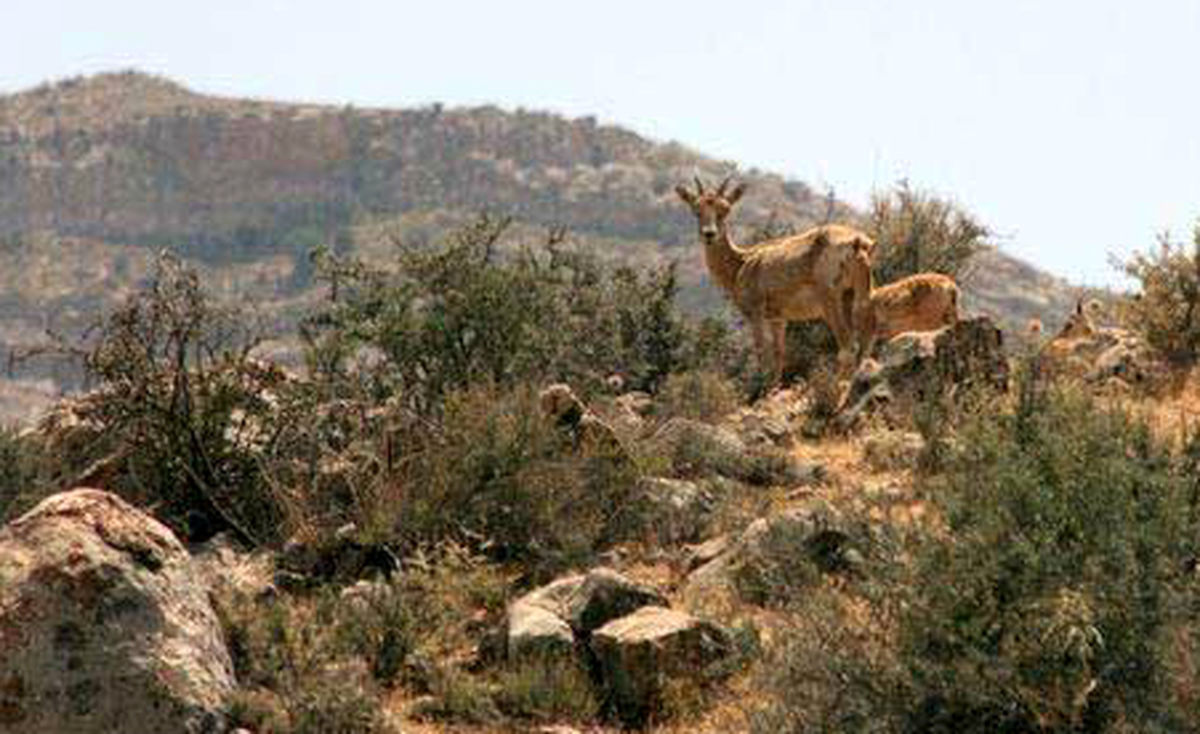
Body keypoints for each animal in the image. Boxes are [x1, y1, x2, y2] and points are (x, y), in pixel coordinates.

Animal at [676, 175, 873, 381]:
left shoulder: (755, 312)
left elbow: (761, 351)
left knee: (847, 345)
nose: (709, 234)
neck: (741, 264)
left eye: (725, 209)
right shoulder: (778, 318)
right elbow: (779, 354)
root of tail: (858, 242)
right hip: (855, 295)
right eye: (696, 209)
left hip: (830, 301)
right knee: (862, 343)